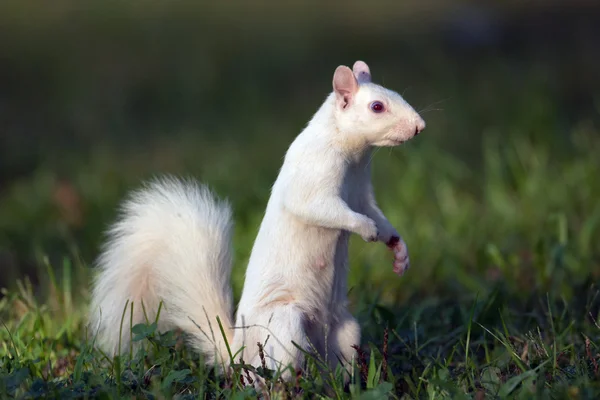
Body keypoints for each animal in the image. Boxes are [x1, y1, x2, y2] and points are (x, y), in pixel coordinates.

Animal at [90, 60, 426, 382]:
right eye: (377, 106)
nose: (419, 126)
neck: (354, 155)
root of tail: (238, 351)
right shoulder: (314, 174)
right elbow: (320, 207)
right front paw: (365, 229)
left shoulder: (361, 193)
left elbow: (375, 213)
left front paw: (398, 250)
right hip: (284, 324)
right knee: (277, 368)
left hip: (345, 333)